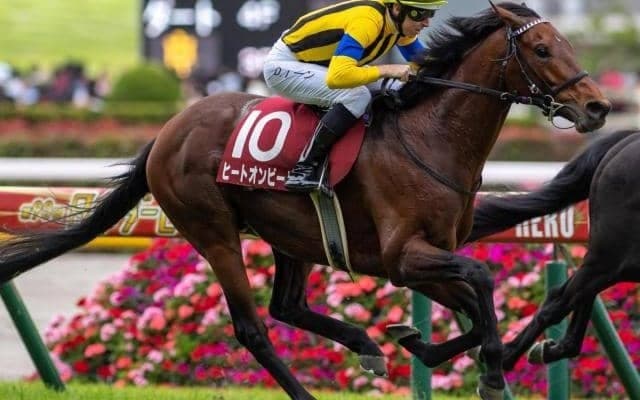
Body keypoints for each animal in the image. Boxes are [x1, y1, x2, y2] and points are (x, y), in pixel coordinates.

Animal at [0, 3, 609, 399]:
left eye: (569, 44)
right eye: (541, 48)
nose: (598, 107)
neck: (430, 136)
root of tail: (169, 129)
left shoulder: (422, 258)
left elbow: (474, 304)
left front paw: (421, 344)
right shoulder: (402, 256)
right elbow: (481, 282)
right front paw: (489, 371)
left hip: (293, 234)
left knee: (286, 306)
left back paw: (364, 343)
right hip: (214, 231)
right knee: (254, 328)